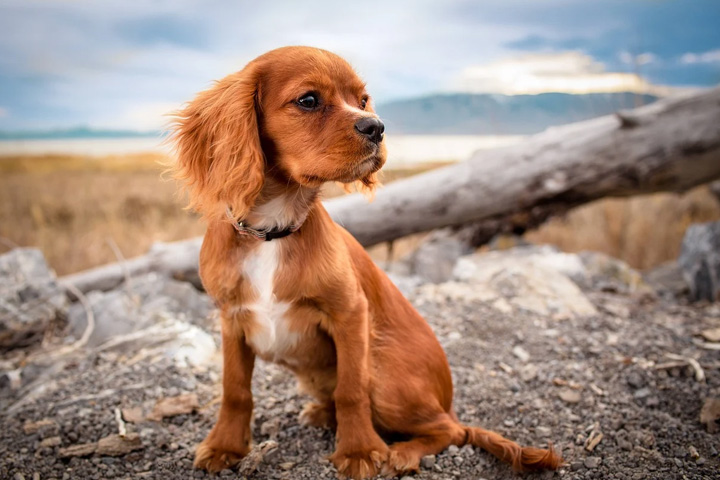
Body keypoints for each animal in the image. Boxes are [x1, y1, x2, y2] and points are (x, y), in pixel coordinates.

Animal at [170, 46, 564, 480]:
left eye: (362, 101)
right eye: (308, 100)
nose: (377, 127)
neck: (273, 230)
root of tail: (447, 401)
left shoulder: (350, 313)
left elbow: (351, 388)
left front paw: (358, 450)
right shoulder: (231, 319)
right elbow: (235, 389)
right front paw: (224, 446)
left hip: (384, 369)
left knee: (451, 430)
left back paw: (402, 452)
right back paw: (322, 415)